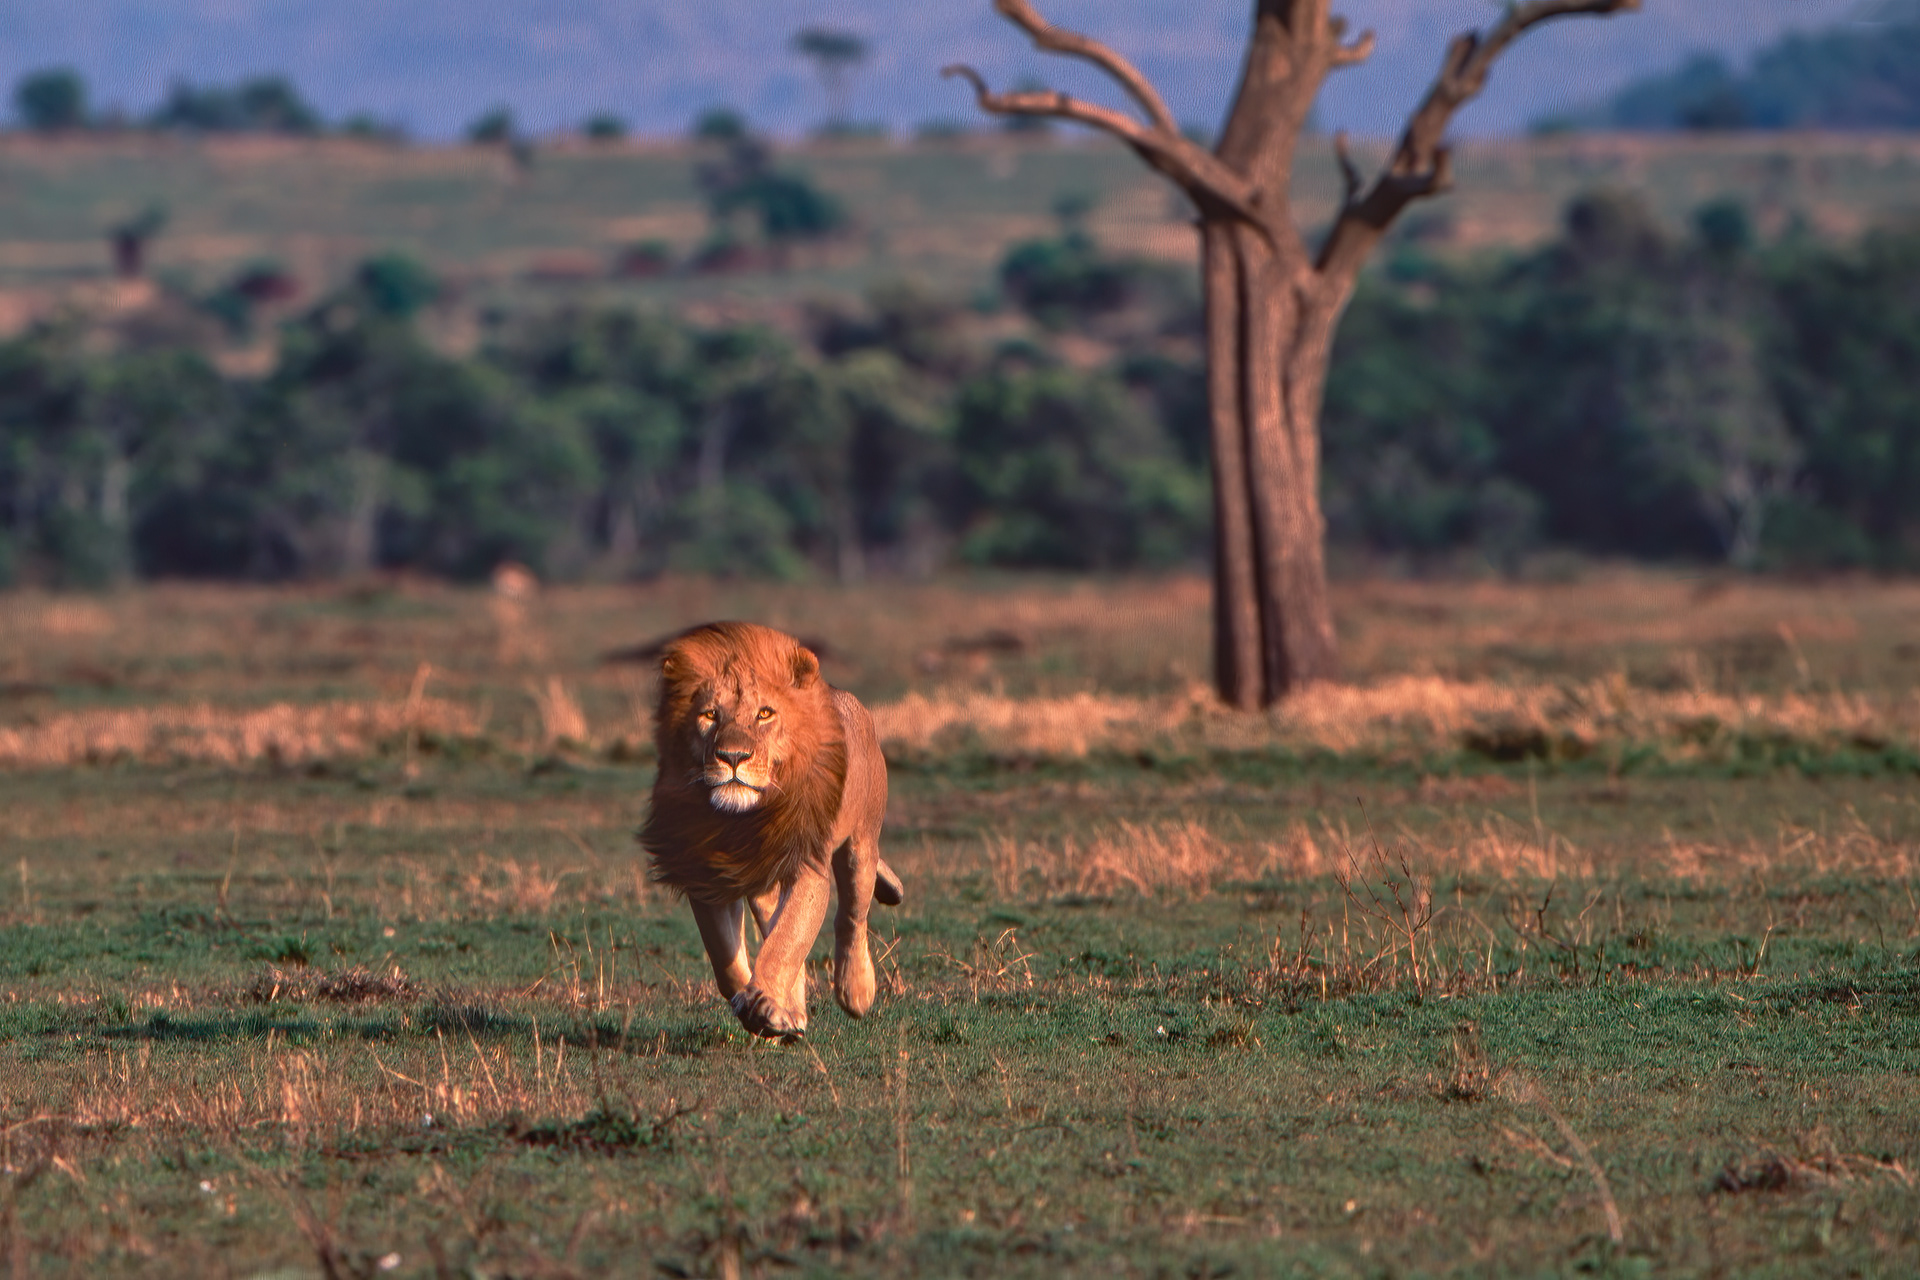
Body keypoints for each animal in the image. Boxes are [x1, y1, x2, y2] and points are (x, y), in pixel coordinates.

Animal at [640, 621, 903, 1041]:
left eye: (765, 714)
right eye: (709, 715)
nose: (732, 757)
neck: (746, 818)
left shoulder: (808, 868)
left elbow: (789, 938)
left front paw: (766, 1006)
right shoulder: (707, 874)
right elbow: (727, 955)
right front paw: (766, 1011)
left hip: (862, 843)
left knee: (851, 916)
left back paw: (855, 991)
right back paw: (790, 1011)